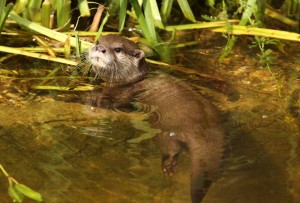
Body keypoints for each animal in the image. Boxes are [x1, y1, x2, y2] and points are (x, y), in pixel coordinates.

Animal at [88, 34, 224, 202]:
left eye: (117, 49)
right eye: (98, 42)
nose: (100, 48)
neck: (136, 79)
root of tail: (200, 131)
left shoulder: (128, 91)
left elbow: (112, 101)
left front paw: (94, 98)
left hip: (164, 132)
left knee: (171, 148)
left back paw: (168, 166)